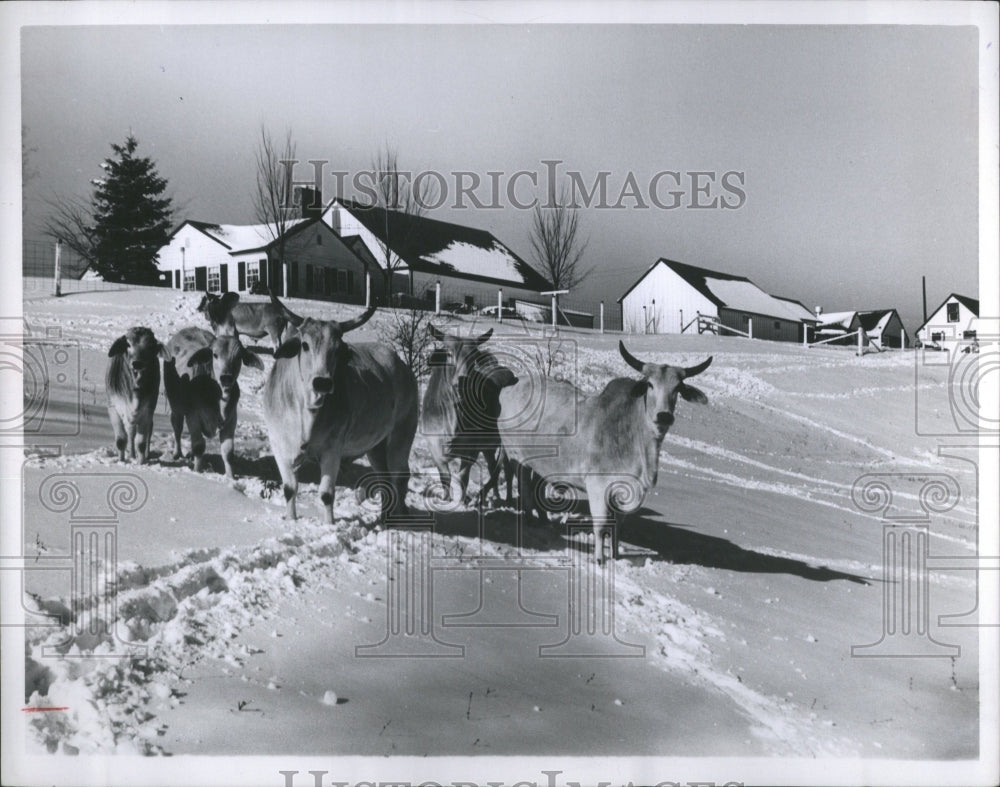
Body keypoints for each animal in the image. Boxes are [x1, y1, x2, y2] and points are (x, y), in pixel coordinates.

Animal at [105, 328, 164, 468]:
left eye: (149, 346)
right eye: (128, 344)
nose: (137, 363)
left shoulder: (147, 411)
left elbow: (141, 443)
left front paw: (141, 463)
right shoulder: (113, 408)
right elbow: (121, 440)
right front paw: (121, 461)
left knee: (148, 431)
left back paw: (145, 455)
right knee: (130, 432)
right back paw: (131, 454)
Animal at [160, 324, 264, 478]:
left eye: (238, 357)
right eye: (215, 355)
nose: (226, 378)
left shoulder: (231, 420)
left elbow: (228, 452)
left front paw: (230, 477)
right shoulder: (193, 417)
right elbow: (198, 446)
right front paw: (197, 471)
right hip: (175, 407)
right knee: (177, 428)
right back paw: (177, 453)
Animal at [262, 290, 418, 524]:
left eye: (337, 350)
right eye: (305, 345)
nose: (322, 382)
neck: (306, 410)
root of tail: (402, 367)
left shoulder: (332, 449)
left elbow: (326, 493)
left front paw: (329, 524)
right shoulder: (279, 446)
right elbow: (290, 489)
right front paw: (291, 519)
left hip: (402, 436)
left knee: (400, 477)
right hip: (376, 447)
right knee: (385, 479)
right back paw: (383, 519)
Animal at [420, 324, 516, 504]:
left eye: (474, 357)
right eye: (449, 354)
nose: (462, 381)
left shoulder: (471, 451)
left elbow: (462, 478)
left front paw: (461, 502)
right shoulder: (434, 448)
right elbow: (445, 477)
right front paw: (446, 499)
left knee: (507, 469)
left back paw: (506, 499)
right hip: (489, 445)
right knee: (492, 466)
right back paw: (495, 496)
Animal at [496, 342, 708, 564]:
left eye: (677, 388)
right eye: (650, 385)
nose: (664, 416)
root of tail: (512, 384)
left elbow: (617, 527)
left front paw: (615, 555)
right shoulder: (597, 486)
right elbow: (601, 526)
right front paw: (599, 559)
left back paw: (543, 519)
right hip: (516, 456)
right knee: (523, 485)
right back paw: (530, 519)